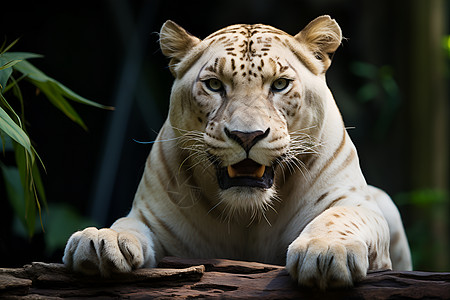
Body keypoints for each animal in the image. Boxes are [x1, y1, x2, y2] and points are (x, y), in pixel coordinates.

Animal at [63, 15, 412, 288]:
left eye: (280, 84)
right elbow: (127, 225)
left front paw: (325, 251)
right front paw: (100, 240)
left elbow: (340, 217)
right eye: (215, 85)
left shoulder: (354, 203)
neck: (246, 217)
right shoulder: (150, 217)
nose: (247, 136)